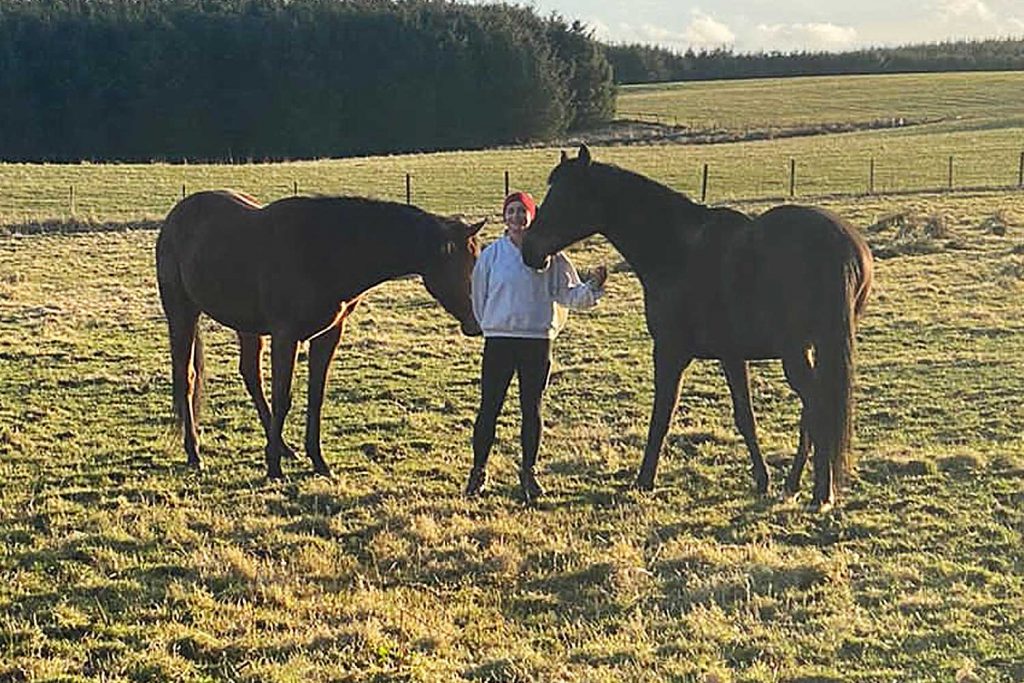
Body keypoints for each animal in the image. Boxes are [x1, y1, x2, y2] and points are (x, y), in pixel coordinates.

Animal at [155, 188, 483, 481]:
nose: (476, 323)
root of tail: (175, 216)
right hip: (182, 313)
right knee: (186, 378)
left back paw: (284, 448)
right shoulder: (286, 336)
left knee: (250, 375)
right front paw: (273, 469)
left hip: (246, 325)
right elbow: (283, 398)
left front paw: (318, 461)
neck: (322, 250)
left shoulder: (328, 335)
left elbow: (316, 396)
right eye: (460, 267)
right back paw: (194, 453)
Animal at [520, 147, 872, 509]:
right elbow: (745, 417)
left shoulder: (670, 351)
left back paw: (821, 492)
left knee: (817, 406)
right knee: (813, 410)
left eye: (567, 195)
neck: (677, 251)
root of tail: (842, 245)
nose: (529, 249)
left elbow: (662, 414)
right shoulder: (731, 355)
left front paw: (644, 480)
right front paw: (762, 480)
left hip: (795, 350)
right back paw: (794, 484)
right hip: (812, 348)